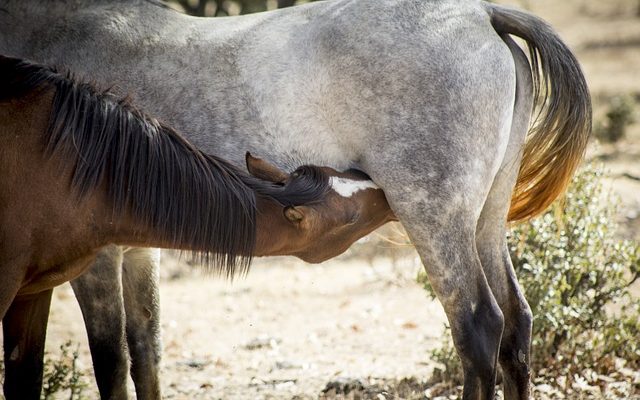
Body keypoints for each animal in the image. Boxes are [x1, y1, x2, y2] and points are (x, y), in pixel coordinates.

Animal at [0, 1, 592, 398]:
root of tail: (482, 15)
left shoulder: (93, 261)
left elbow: (105, 363)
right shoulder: (135, 252)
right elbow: (145, 351)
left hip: (435, 221)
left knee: (478, 328)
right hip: (486, 223)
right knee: (515, 324)